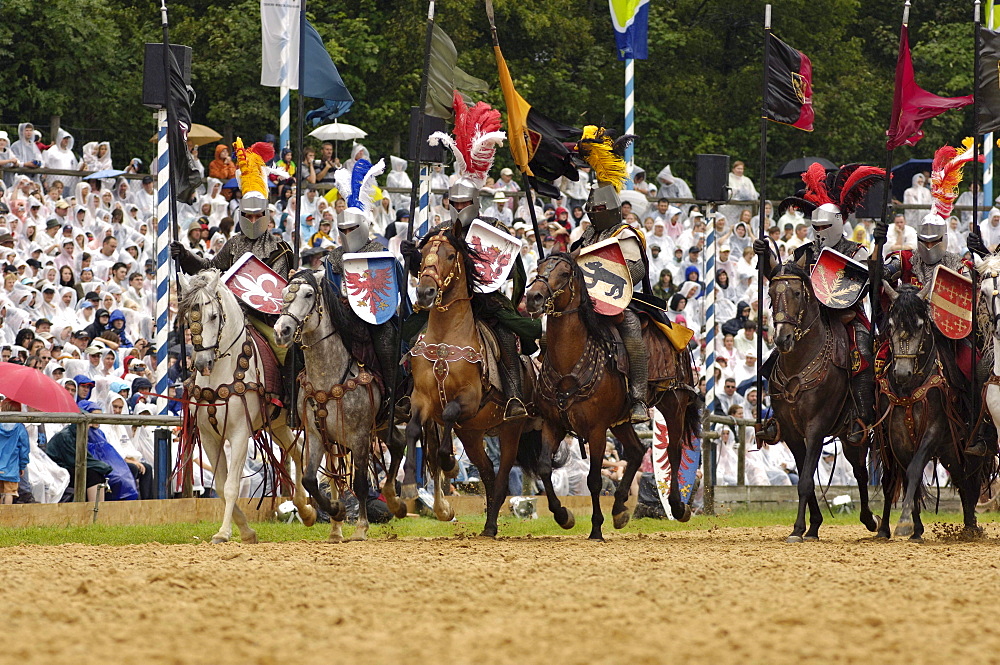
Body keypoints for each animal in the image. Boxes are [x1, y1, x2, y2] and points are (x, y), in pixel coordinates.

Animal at [178, 268, 314, 544]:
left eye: (214, 316)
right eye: (188, 317)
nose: (203, 363)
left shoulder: (240, 433)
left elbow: (231, 486)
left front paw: (224, 532)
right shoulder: (210, 437)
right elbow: (220, 486)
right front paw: (246, 531)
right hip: (277, 424)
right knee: (298, 452)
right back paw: (305, 510)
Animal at [404, 220, 536, 536]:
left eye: (451, 255)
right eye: (423, 253)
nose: (425, 292)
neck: (446, 337)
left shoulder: (470, 398)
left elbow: (449, 412)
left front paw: (449, 462)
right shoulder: (421, 398)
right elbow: (413, 430)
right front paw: (415, 486)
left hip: (510, 430)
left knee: (501, 476)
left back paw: (491, 523)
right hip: (473, 434)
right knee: (487, 473)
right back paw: (488, 524)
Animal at [528, 254, 700, 540]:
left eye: (564, 274)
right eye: (538, 269)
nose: (533, 297)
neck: (569, 362)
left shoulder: (597, 430)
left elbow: (594, 480)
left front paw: (596, 528)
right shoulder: (553, 424)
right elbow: (543, 467)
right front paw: (563, 515)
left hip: (674, 404)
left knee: (673, 452)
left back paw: (677, 506)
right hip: (621, 421)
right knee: (636, 451)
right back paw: (619, 509)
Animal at [880, 282, 988, 536]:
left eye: (920, 326)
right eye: (890, 325)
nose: (901, 373)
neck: (910, 388)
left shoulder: (933, 430)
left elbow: (914, 469)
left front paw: (904, 522)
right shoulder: (897, 436)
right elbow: (909, 475)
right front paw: (914, 527)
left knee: (970, 478)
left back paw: (971, 527)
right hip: (950, 451)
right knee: (961, 478)